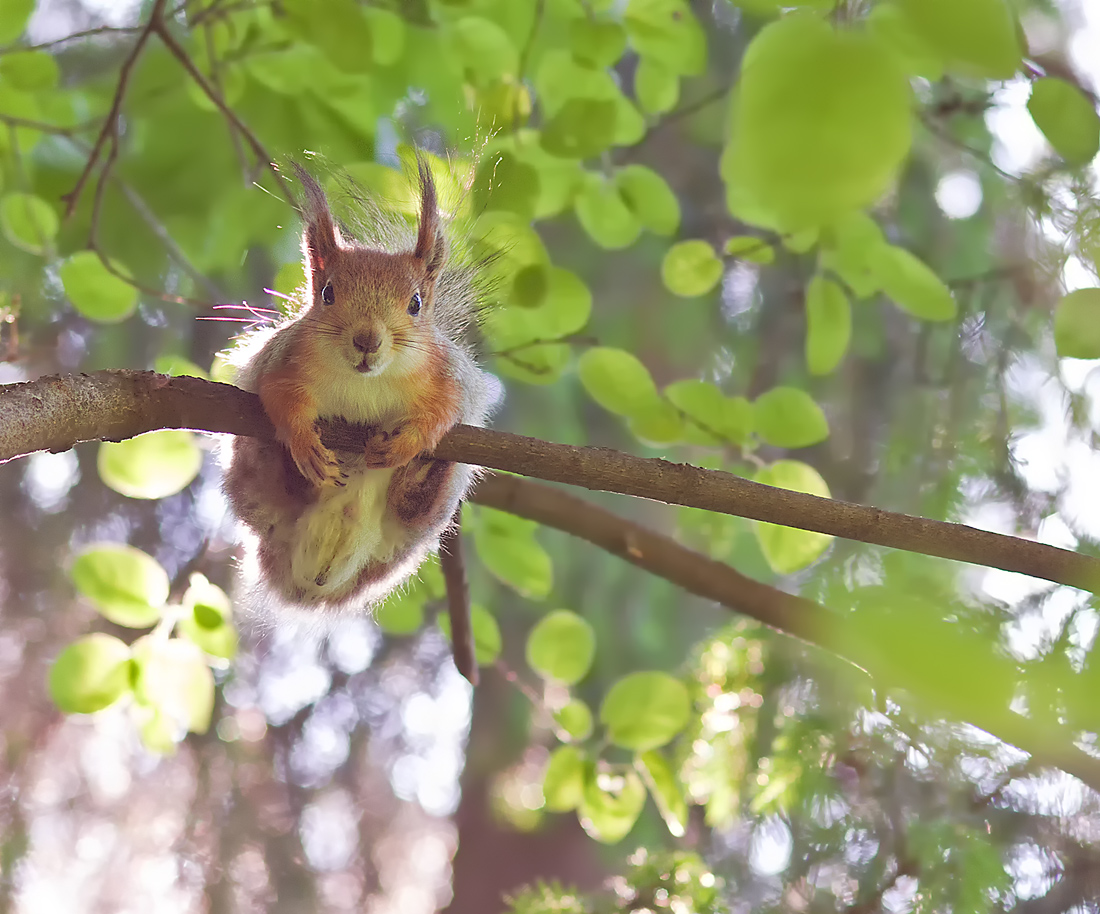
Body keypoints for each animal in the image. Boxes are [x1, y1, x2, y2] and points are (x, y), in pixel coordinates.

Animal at [223, 157, 499, 615]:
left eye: (416, 303)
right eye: (327, 293)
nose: (367, 340)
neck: (366, 381)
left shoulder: (451, 379)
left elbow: (443, 413)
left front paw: (410, 443)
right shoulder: (279, 362)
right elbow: (279, 399)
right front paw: (302, 440)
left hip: (425, 518)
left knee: (416, 508)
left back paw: (419, 475)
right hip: (254, 475)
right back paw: (303, 472)